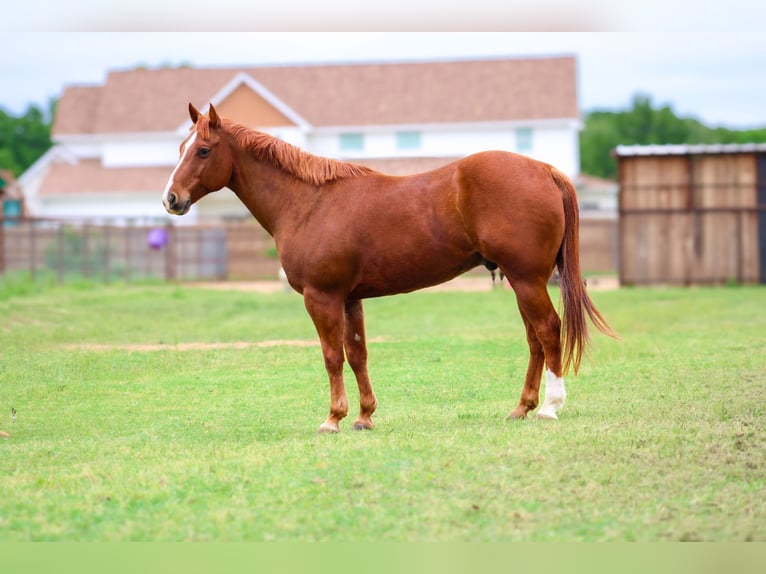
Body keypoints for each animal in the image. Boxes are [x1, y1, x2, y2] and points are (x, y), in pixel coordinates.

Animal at [162, 104, 616, 436]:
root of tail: (544, 170)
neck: (309, 202)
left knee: (549, 331)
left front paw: (333, 418)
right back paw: (521, 408)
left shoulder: (321, 298)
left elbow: (332, 356)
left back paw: (549, 408)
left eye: (203, 150)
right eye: (181, 147)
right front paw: (364, 416)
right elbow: (357, 354)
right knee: (535, 339)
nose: (171, 199)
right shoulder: (350, 299)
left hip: (527, 280)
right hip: (523, 282)